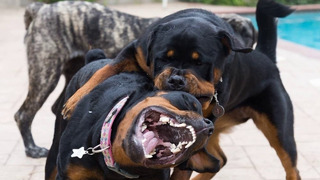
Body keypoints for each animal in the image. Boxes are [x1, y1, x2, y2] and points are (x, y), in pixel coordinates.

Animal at [15, 0, 258, 158]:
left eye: (250, 34)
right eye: (239, 33)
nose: (245, 51)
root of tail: (42, 8)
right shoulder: (129, 54)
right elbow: (103, 73)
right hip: (45, 72)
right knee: (24, 113)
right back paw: (32, 148)